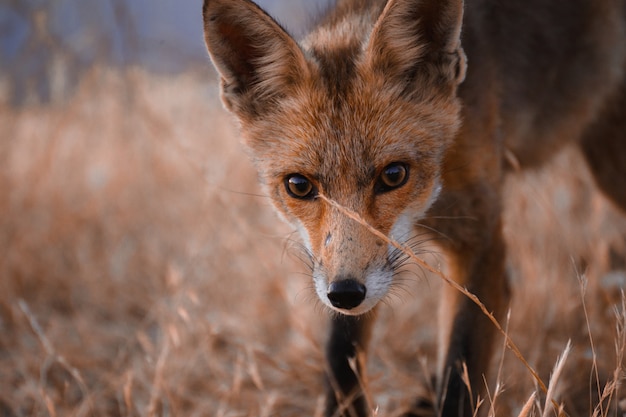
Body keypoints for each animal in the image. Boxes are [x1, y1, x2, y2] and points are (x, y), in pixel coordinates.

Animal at [200, 0, 624, 414]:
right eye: (299, 186)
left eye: (393, 175)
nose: (345, 294)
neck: (432, 195)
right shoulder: (351, 269)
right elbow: (342, 358)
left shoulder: (480, 240)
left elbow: (460, 372)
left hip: (609, 170)